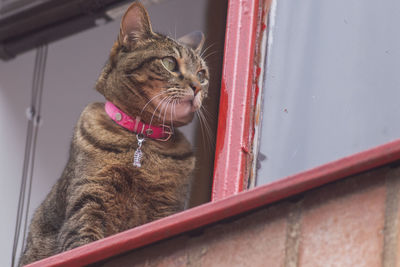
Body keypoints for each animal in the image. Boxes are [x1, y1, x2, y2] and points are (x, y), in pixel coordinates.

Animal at [18, 1, 208, 266]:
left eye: (202, 74)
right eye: (169, 63)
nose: (197, 86)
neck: (142, 136)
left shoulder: (167, 207)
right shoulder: (89, 199)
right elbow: (83, 244)